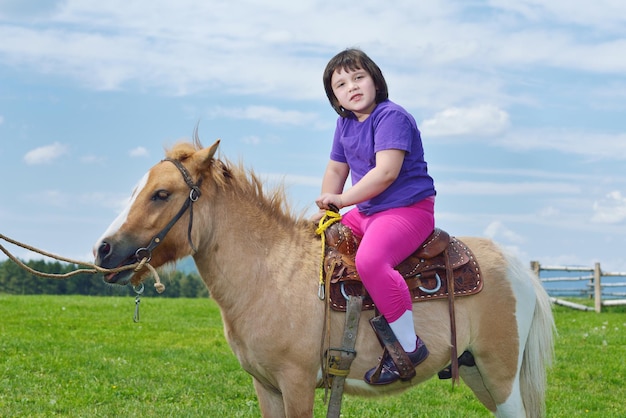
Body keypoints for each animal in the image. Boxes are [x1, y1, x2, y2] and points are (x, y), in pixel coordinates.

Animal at [92, 139, 552, 416]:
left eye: (161, 194)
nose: (103, 250)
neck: (269, 271)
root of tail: (518, 267)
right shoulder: (267, 388)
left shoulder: (296, 384)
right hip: (477, 374)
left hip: (500, 377)